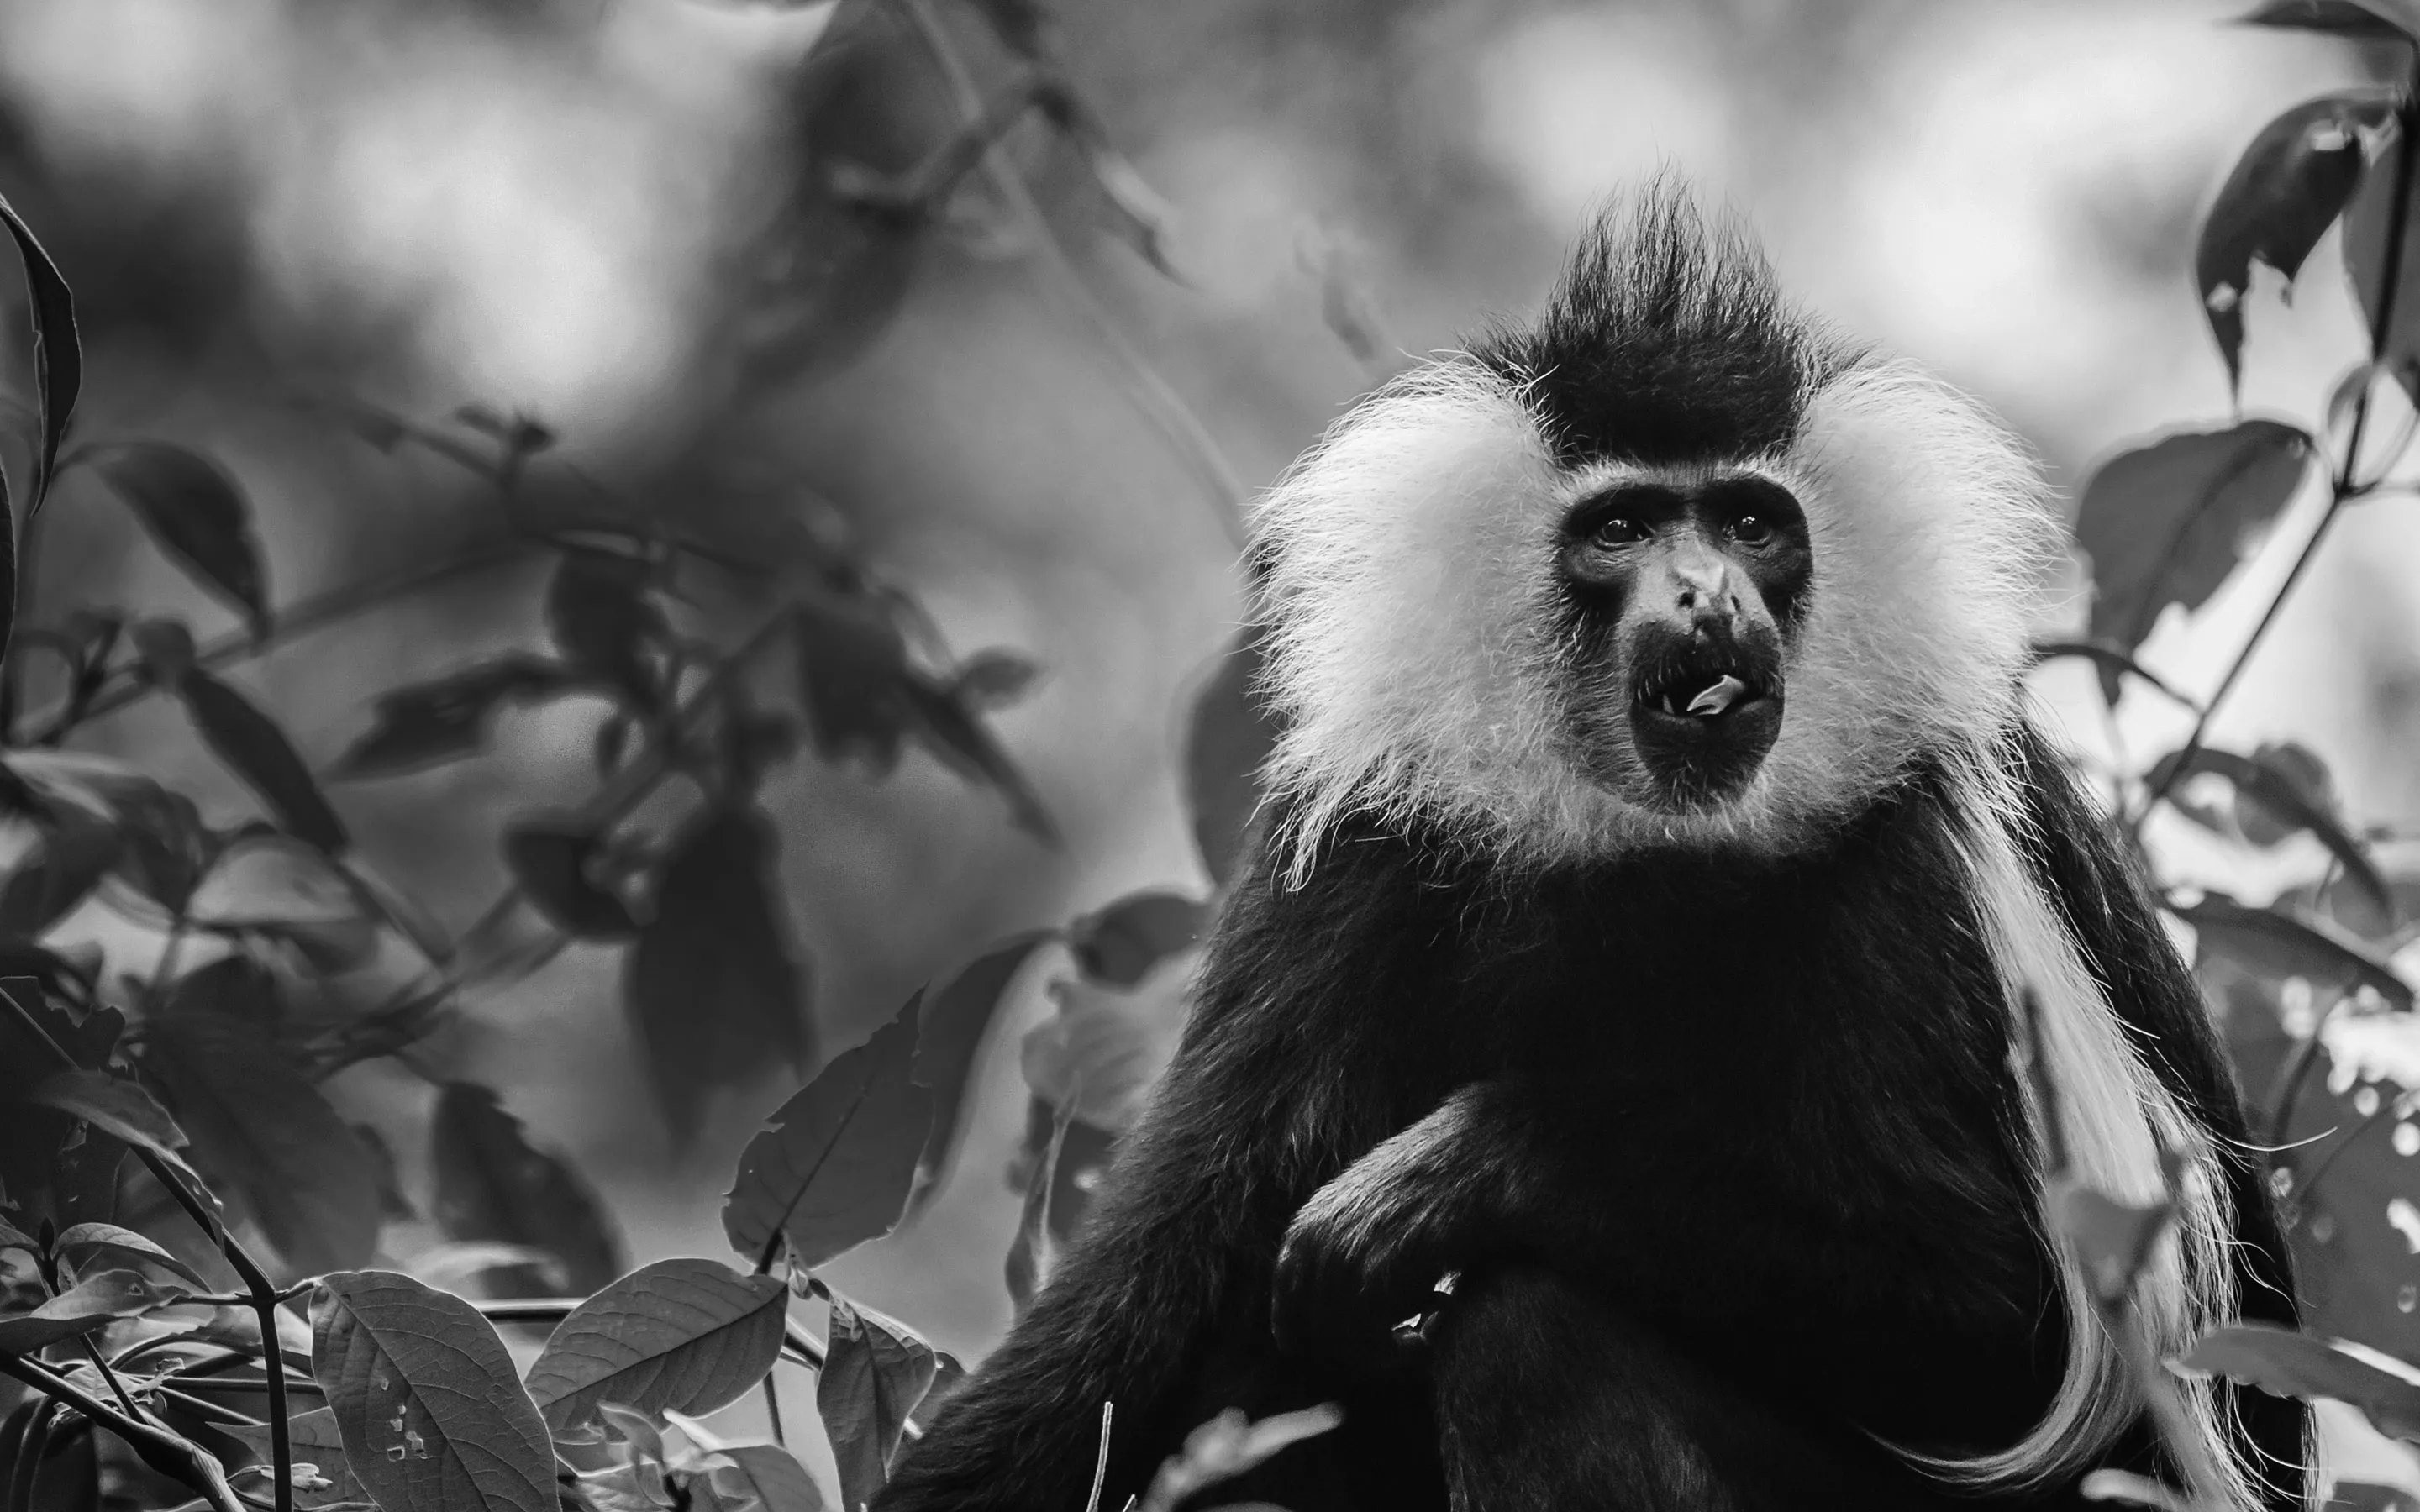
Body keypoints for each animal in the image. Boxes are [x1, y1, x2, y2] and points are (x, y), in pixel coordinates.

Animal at [886, 188, 2303, 1509]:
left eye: (1749, 525)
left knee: (1531, 1334)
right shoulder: (1356, 854)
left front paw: (1451, 1175)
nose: (1708, 599)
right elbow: (1160, 1271)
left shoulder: (1918, 870)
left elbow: (2019, 1323)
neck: (1652, 846)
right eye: (1622, 529)